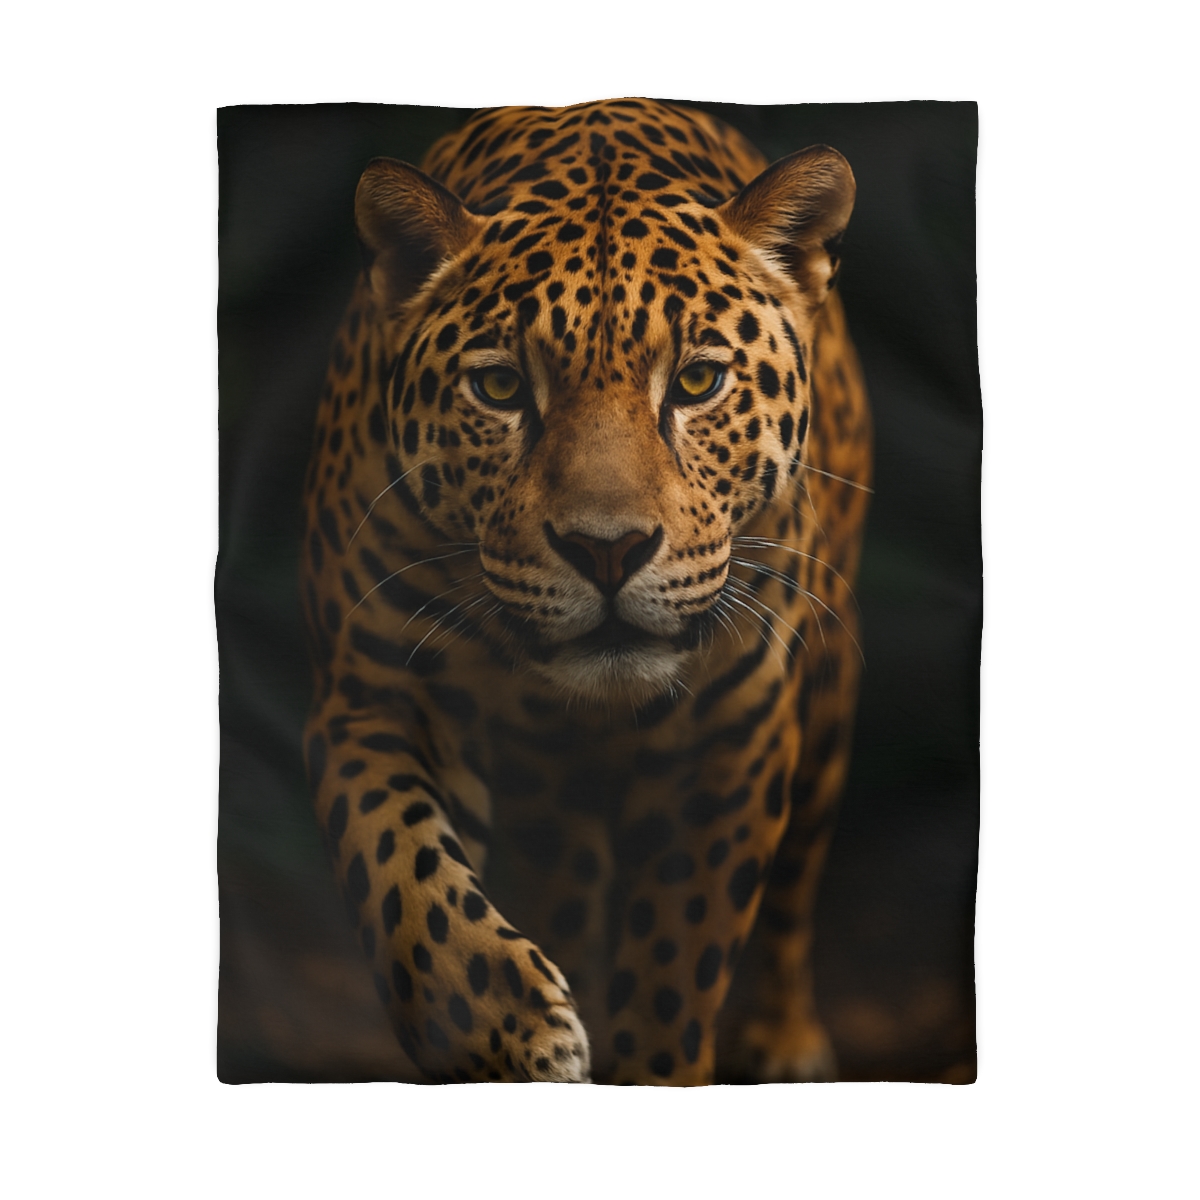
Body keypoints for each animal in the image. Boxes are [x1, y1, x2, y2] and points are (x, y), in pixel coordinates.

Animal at [300, 98, 871, 1084]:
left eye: (697, 380)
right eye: (499, 387)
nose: (608, 552)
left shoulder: (730, 739)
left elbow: (680, 968)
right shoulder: (371, 695)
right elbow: (405, 879)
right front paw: (515, 1034)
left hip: (828, 702)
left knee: (797, 884)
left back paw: (786, 1039)